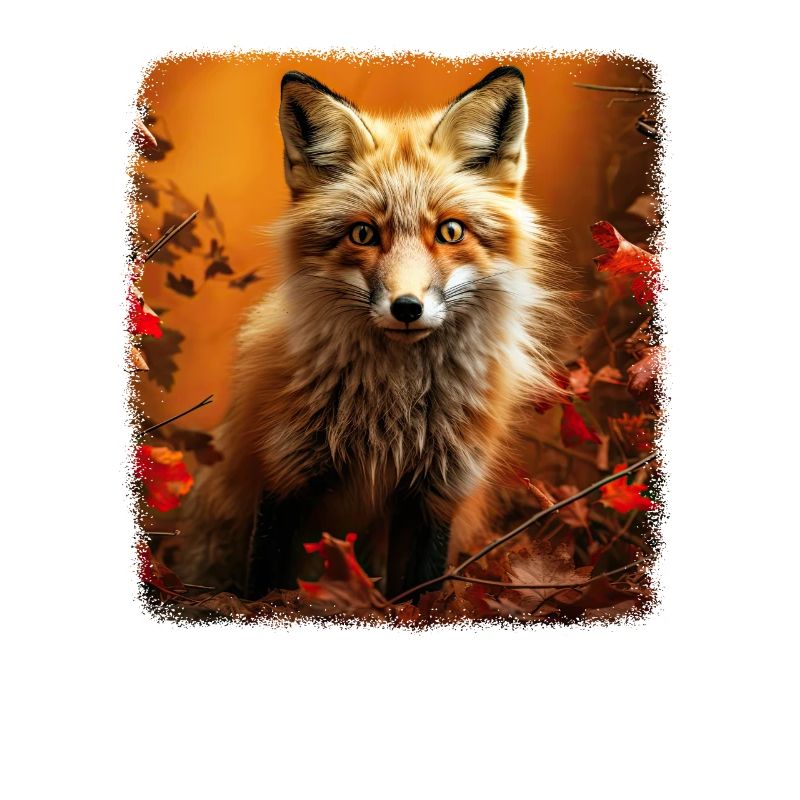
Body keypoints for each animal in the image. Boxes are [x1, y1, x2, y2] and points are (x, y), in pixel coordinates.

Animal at [175, 65, 572, 599]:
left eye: (450, 232)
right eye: (363, 233)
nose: (407, 308)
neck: (390, 412)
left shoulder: (436, 493)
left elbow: (419, 593)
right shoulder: (284, 474)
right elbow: (265, 585)